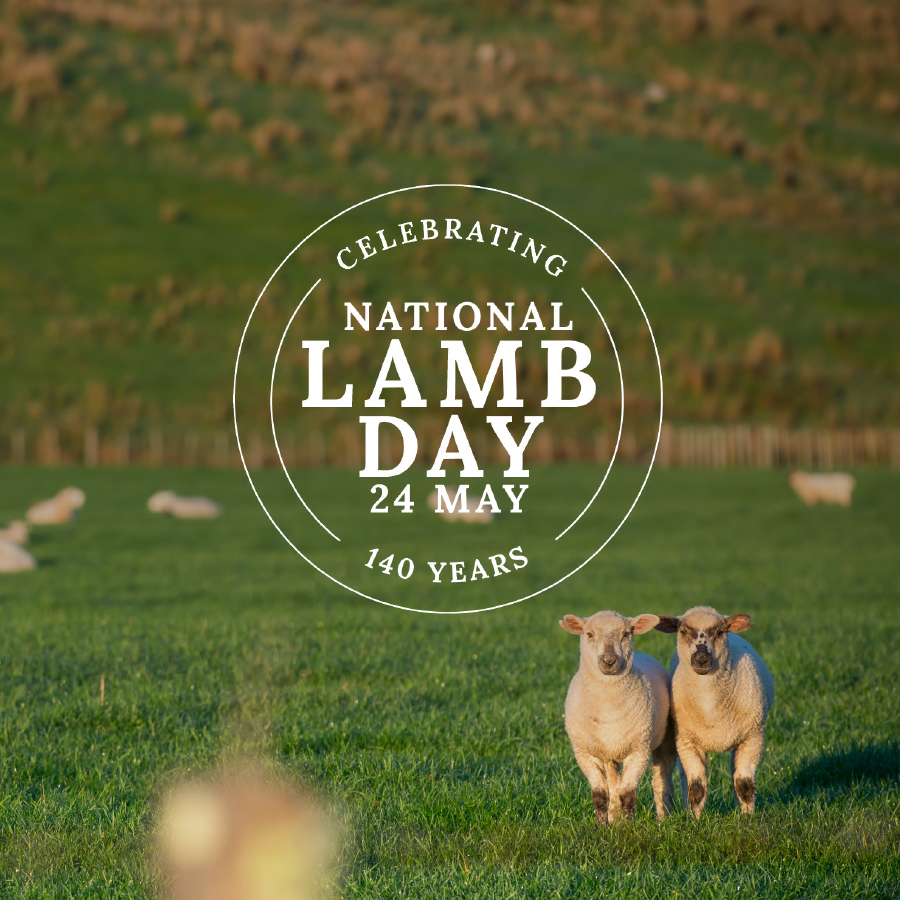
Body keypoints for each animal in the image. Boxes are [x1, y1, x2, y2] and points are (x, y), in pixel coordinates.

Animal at [560, 610, 675, 824]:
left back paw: (663, 819)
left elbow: (628, 794)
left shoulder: (639, 751)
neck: (608, 707)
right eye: (589, 634)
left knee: (661, 781)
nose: (609, 661)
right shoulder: (585, 753)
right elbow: (600, 794)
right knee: (613, 783)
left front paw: (628, 827)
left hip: (665, 740)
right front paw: (600, 827)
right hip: (609, 753)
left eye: (626, 634)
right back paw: (614, 818)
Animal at [655, 606, 774, 818]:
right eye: (682, 631)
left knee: (735, 771)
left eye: (719, 632)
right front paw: (695, 819)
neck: (711, 709)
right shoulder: (686, 741)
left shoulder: (753, 737)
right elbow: (696, 787)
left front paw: (747, 818)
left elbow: (744, 784)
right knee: (686, 777)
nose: (701, 659)